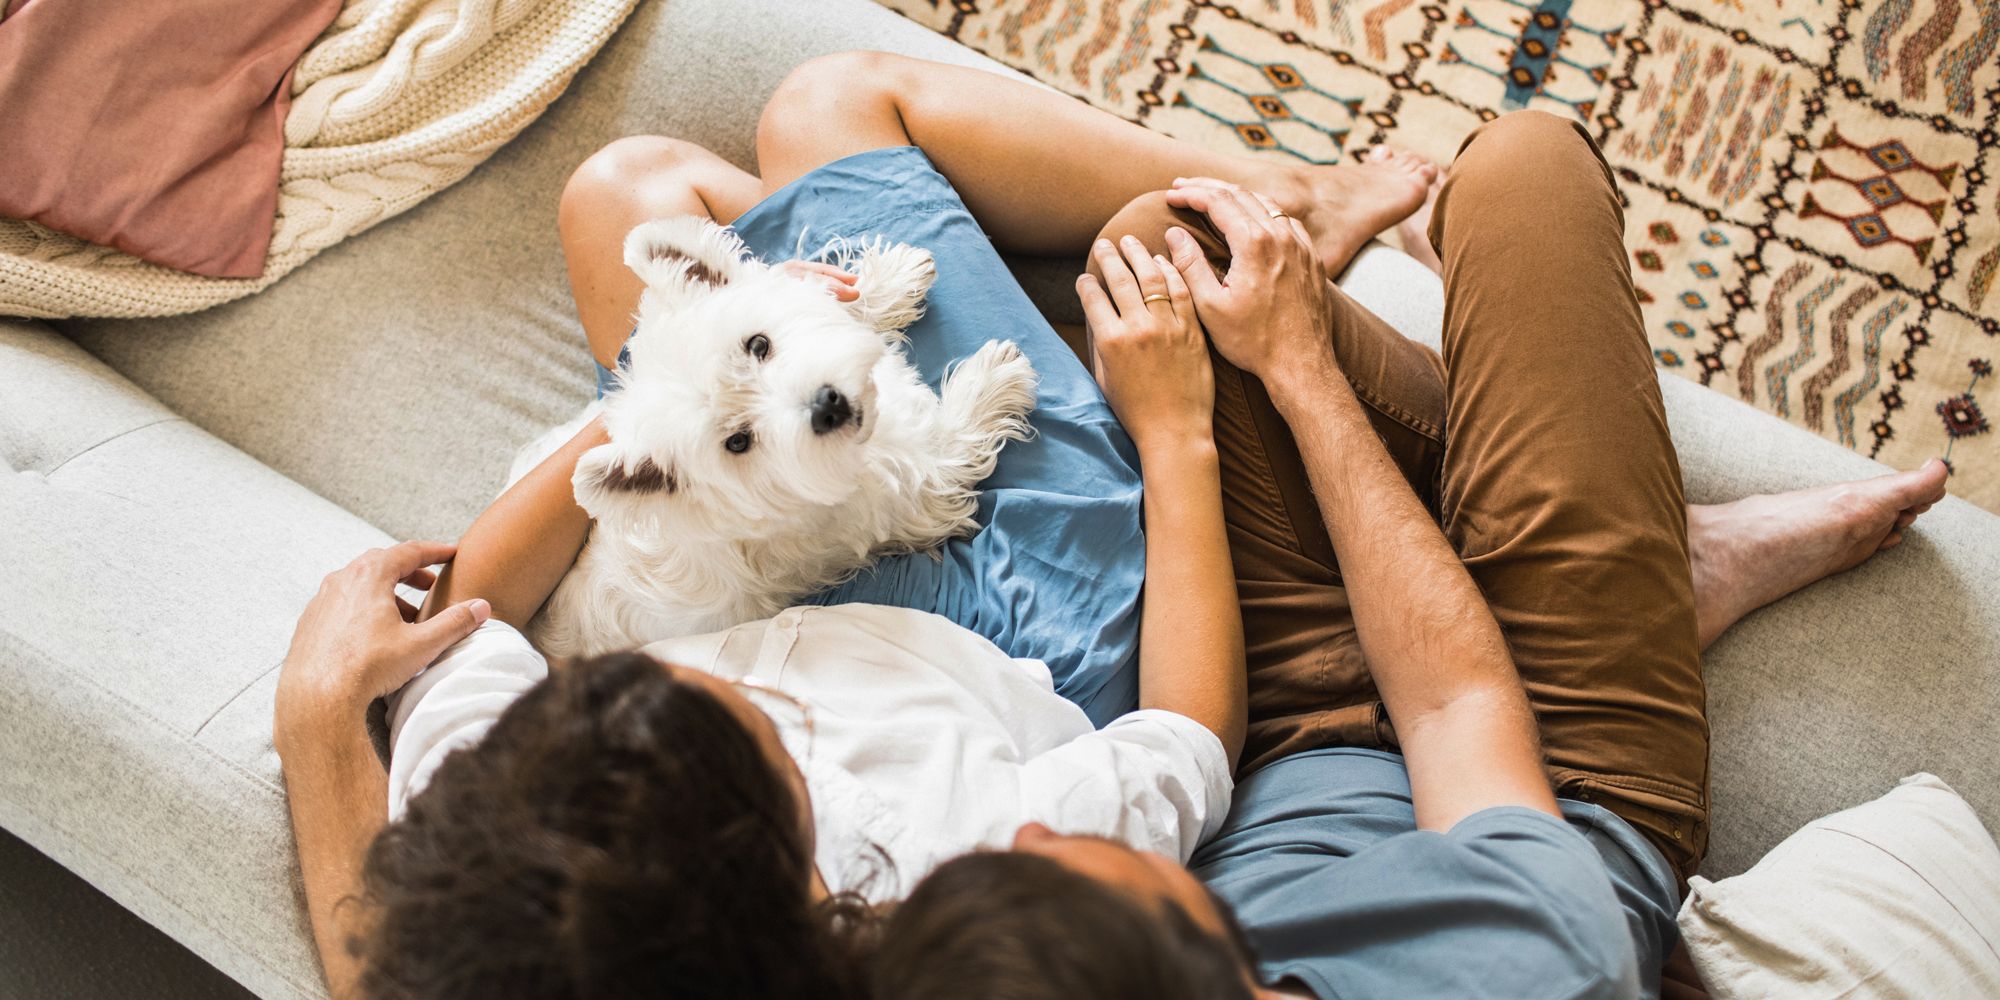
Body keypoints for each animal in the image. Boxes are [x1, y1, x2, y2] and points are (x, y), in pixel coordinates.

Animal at [516, 218, 1040, 656]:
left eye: (758, 344)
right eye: (738, 442)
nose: (828, 405)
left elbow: (832, 304)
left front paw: (891, 280)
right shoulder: (915, 492)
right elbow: (954, 442)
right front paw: (993, 378)